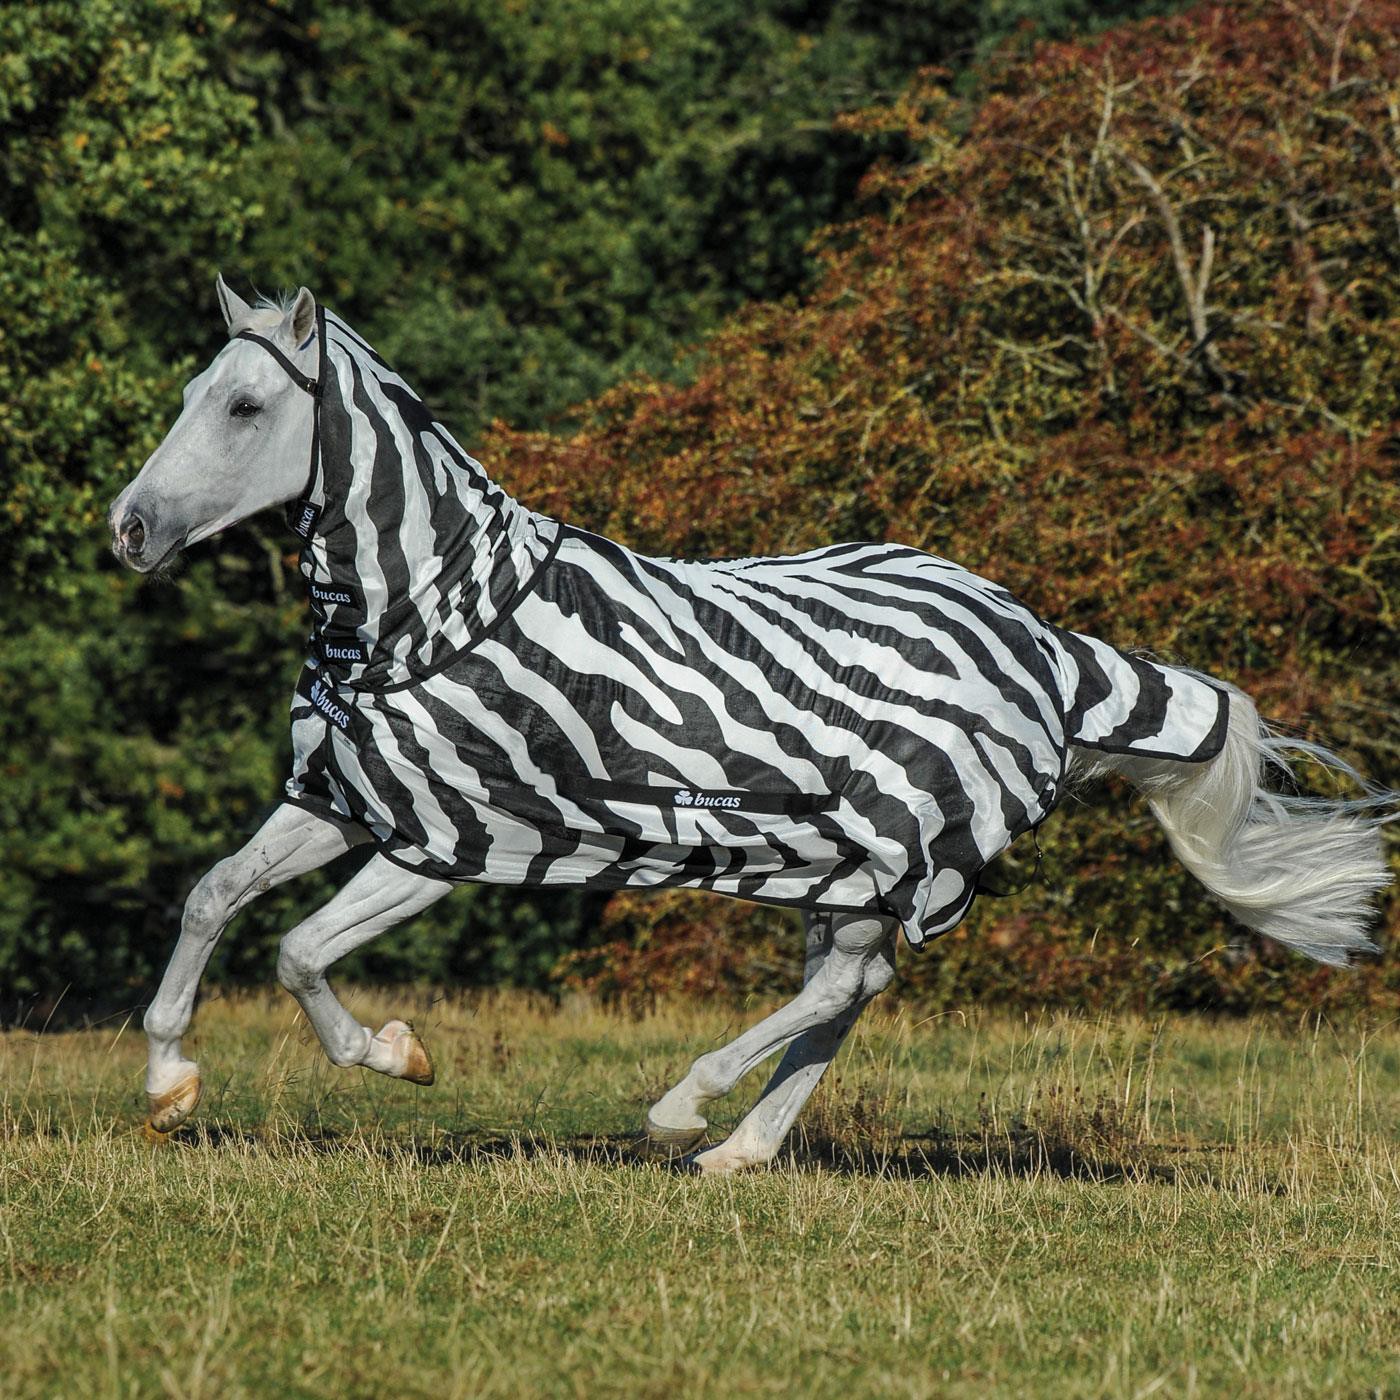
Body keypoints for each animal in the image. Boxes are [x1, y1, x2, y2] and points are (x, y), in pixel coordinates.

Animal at [107, 279, 1393, 1172]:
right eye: (186, 396)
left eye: (245, 405)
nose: (129, 528)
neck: (427, 610)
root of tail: (1045, 645)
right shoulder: (339, 801)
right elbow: (214, 898)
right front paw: (170, 1081)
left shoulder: (450, 837)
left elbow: (296, 949)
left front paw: (396, 1053)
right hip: (848, 862)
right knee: (852, 988)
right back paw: (739, 1147)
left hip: (896, 844)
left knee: (842, 985)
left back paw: (684, 1108)